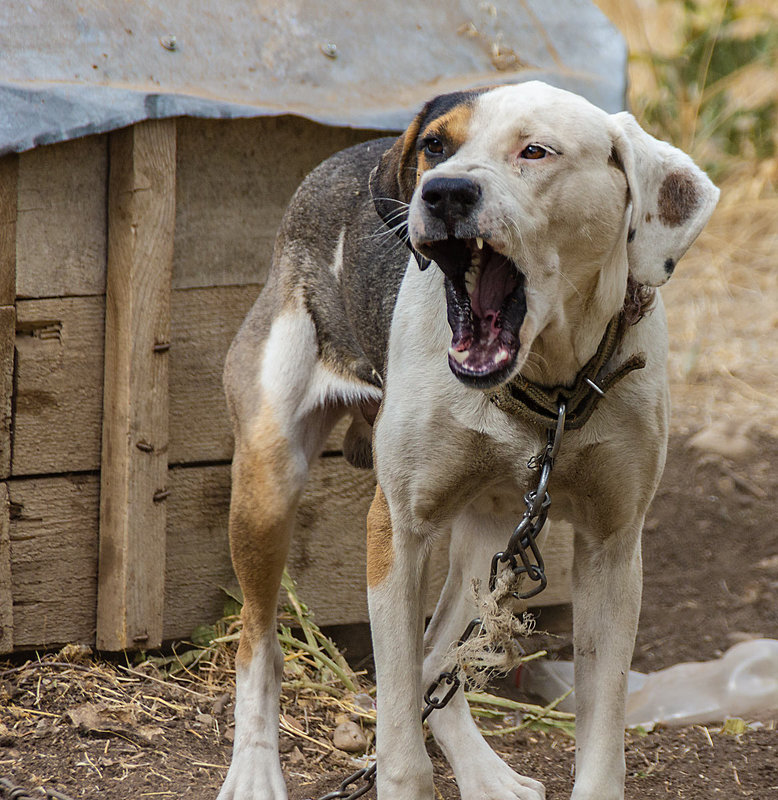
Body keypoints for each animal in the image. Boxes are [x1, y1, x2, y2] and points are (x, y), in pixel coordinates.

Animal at [217, 83, 716, 800]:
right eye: (435, 145)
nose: (444, 192)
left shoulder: (613, 551)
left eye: (535, 151)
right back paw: (255, 769)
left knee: (435, 656)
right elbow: (400, 736)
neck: (547, 388)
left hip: (492, 539)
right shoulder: (397, 530)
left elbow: (601, 745)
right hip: (267, 483)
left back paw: (487, 775)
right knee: (260, 644)